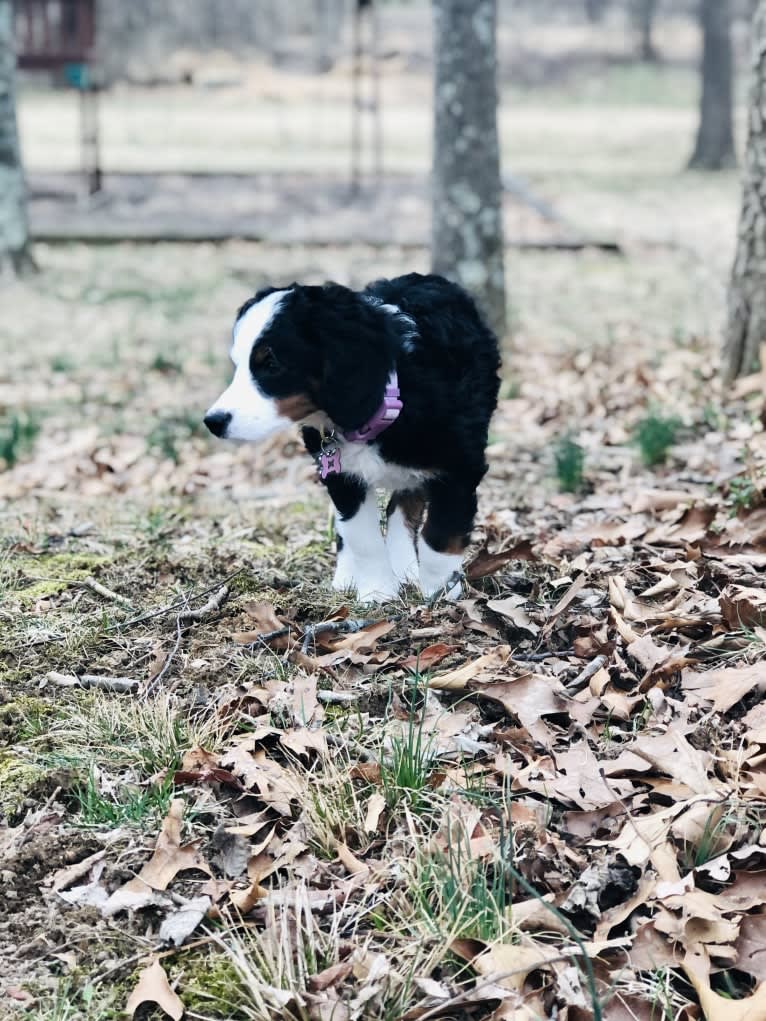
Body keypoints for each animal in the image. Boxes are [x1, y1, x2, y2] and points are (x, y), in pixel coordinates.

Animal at [204, 275, 504, 600]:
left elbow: (440, 535)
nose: (213, 421)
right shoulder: (341, 473)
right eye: (238, 366)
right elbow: (362, 535)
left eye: (271, 364)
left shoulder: (460, 466)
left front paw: (439, 593)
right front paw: (377, 593)